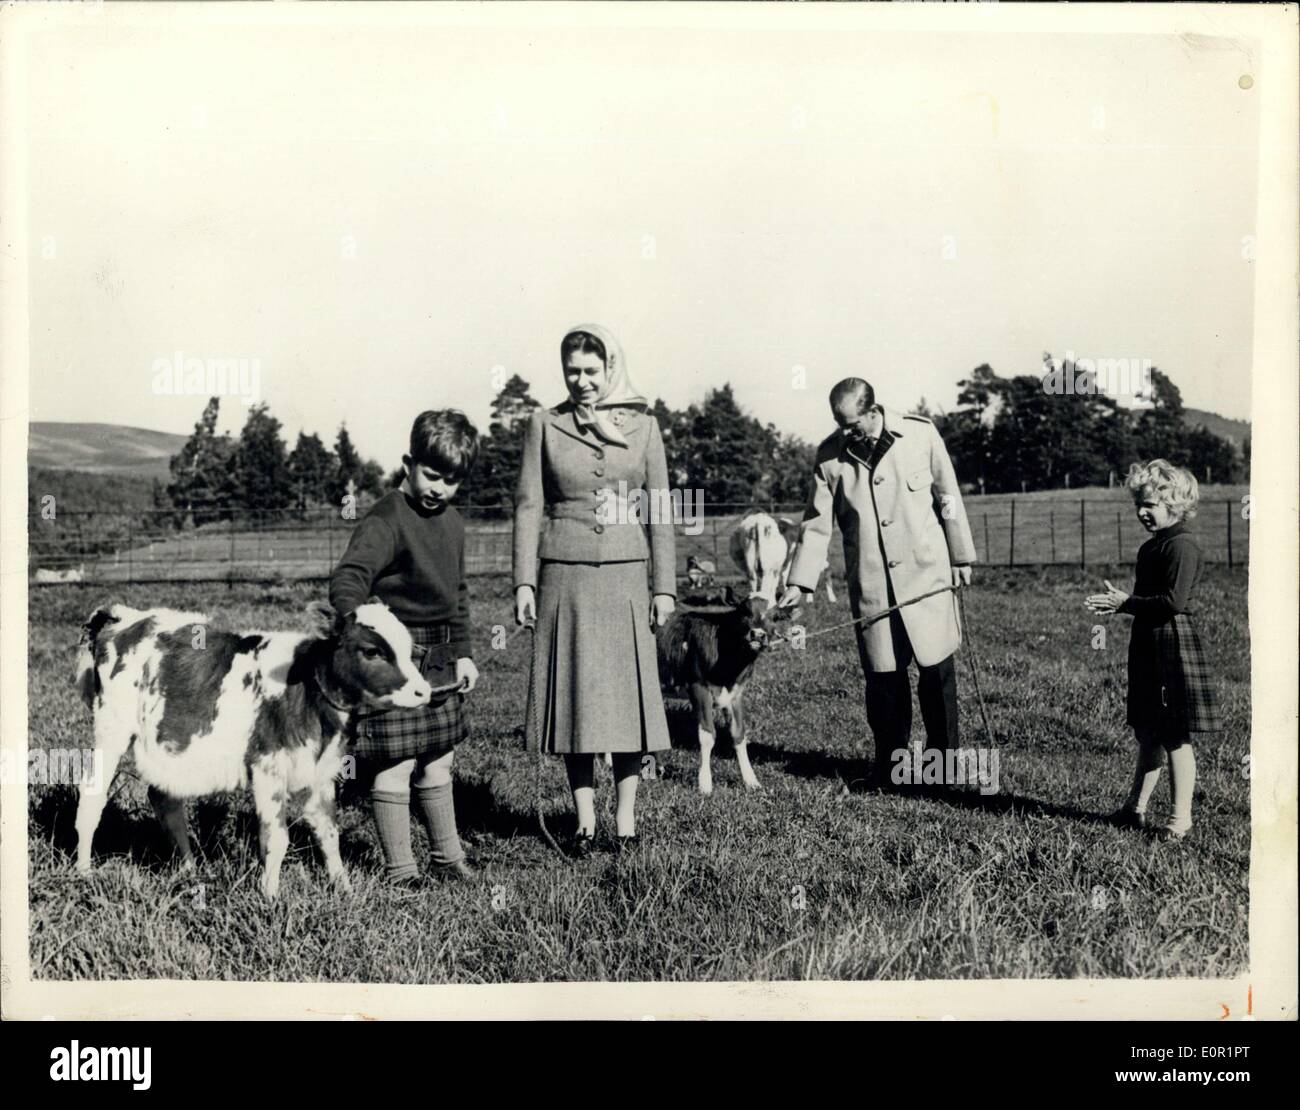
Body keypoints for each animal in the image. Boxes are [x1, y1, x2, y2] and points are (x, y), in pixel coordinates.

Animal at [76, 603, 431, 899]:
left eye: (409, 647)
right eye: (372, 651)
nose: (423, 691)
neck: (305, 690)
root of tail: (121, 615)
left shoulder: (319, 771)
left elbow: (329, 833)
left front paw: (344, 889)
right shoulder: (268, 768)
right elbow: (276, 838)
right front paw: (270, 896)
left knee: (166, 803)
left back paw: (190, 870)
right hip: (112, 729)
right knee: (93, 798)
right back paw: (83, 873)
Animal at [650, 595, 769, 795]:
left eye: (776, 616)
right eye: (744, 612)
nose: (758, 635)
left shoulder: (735, 694)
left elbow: (739, 734)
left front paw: (751, 781)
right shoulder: (699, 688)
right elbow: (707, 735)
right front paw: (705, 783)